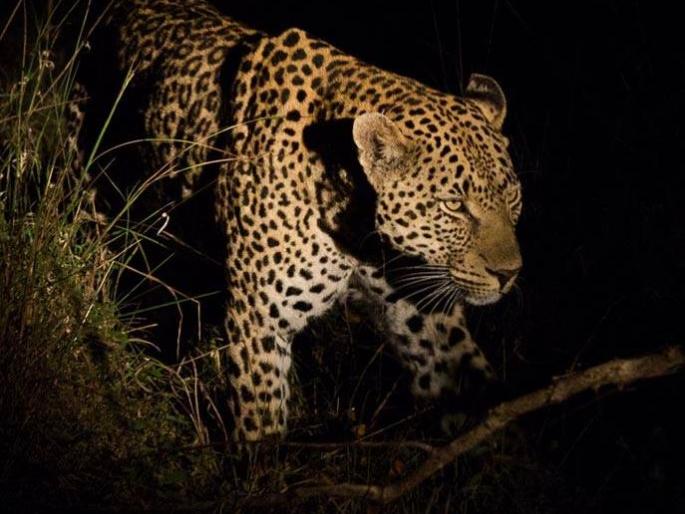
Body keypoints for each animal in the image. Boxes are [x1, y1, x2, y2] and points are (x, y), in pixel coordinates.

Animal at [76, 0, 523, 442]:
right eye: (454, 205)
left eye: (513, 197)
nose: (509, 274)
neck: (358, 227)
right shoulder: (259, 320)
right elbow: (261, 425)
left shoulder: (420, 314)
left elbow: (469, 382)